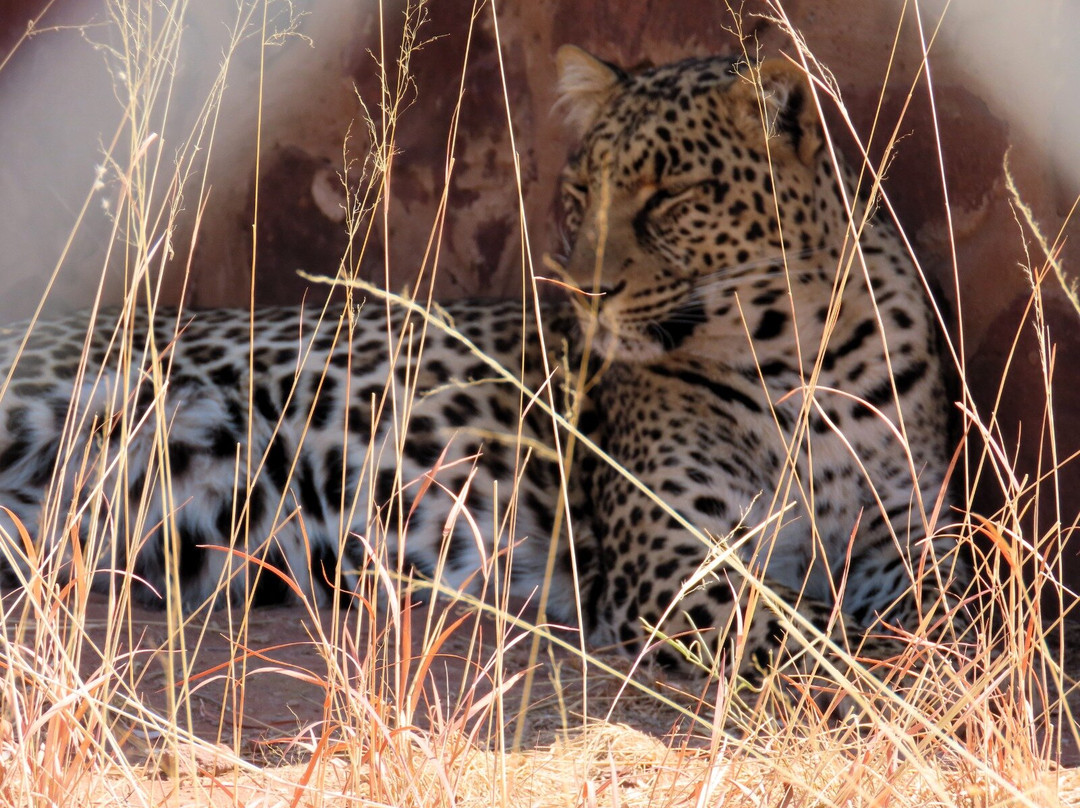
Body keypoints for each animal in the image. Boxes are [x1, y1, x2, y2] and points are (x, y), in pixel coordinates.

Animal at [0, 46, 969, 689]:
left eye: (670, 197)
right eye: (581, 194)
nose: (585, 291)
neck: (796, 356)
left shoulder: (911, 542)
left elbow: (943, 611)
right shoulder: (677, 565)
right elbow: (806, 639)